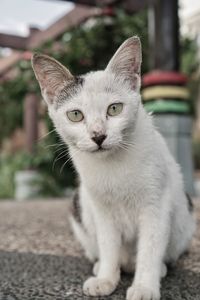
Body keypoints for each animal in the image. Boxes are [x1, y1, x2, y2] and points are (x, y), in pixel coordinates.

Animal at [31, 37, 195, 300]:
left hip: (183, 219)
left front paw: (144, 286)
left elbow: (150, 248)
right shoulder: (101, 210)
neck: (113, 165)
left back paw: (157, 269)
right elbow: (108, 245)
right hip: (81, 209)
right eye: (75, 115)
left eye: (114, 109)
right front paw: (106, 278)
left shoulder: (156, 205)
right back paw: (103, 267)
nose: (98, 135)